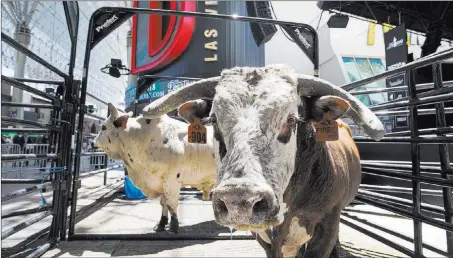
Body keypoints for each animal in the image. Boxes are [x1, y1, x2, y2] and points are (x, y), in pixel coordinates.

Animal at [92, 103, 216, 234]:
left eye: (104, 127)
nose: (92, 143)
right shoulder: (160, 182)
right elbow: (163, 203)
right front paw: (161, 223)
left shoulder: (172, 181)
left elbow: (171, 204)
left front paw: (174, 226)